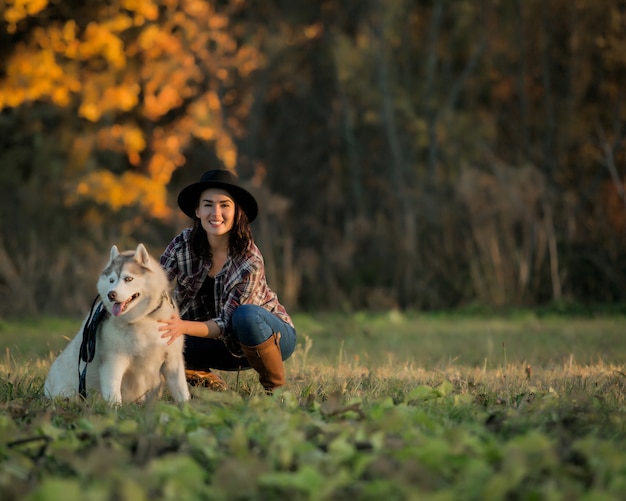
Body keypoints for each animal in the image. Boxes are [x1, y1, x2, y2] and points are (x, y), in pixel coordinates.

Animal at [45, 242, 189, 402]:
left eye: (128, 279)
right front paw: (114, 408)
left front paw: (188, 407)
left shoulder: (173, 361)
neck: (143, 318)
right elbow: (113, 392)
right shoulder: (113, 361)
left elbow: (182, 392)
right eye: (111, 280)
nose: (111, 294)